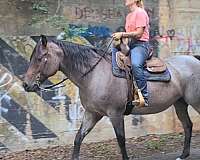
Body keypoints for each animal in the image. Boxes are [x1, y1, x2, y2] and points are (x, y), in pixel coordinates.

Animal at [22, 35, 200, 160]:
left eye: (40, 58)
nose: (26, 85)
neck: (93, 74)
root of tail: (193, 59)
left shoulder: (115, 114)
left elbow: (121, 140)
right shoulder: (92, 114)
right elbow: (78, 138)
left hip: (195, 102)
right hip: (180, 103)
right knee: (188, 125)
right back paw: (183, 155)